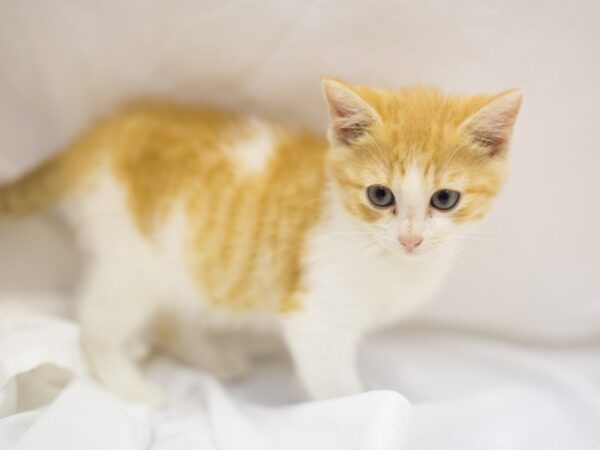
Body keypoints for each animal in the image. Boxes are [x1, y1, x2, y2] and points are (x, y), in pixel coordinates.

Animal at [0, 77, 520, 404]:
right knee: (96, 323)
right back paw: (132, 387)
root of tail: (96, 137)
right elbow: (335, 384)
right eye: (380, 195)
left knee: (169, 311)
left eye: (445, 199)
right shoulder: (316, 317)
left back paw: (213, 355)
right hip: (130, 257)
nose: (410, 238)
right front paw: (352, 409)